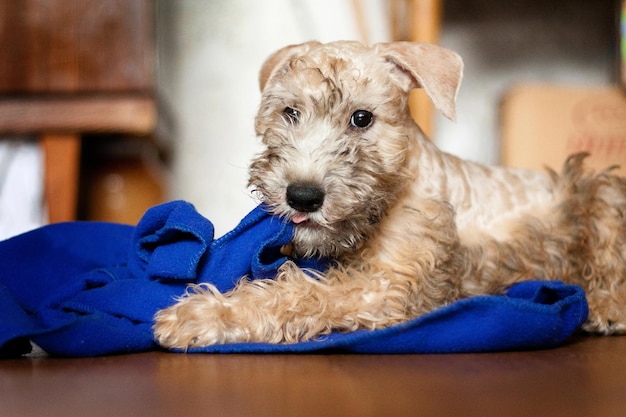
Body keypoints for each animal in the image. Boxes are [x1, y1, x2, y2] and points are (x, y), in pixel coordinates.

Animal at [152, 41, 624, 348]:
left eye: (362, 118)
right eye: (290, 113)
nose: (302, 196)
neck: (396, 186)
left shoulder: (385, 285)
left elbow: (302, 294)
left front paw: (199, 315)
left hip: (601, 193)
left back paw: (605, 307)